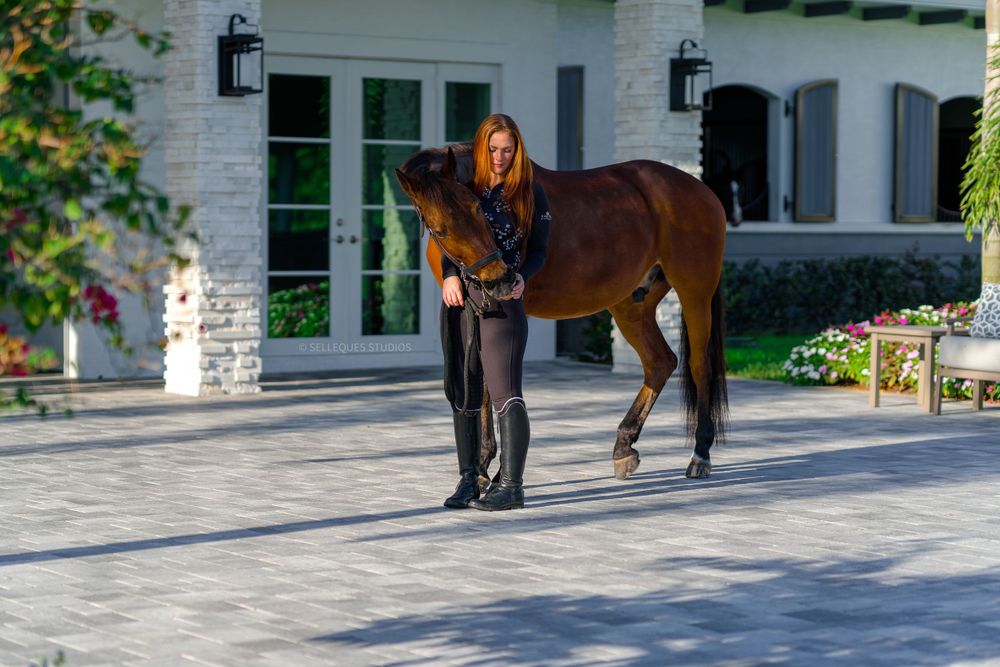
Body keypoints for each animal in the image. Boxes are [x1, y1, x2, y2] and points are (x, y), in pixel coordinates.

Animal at [394, 143, 727, 482]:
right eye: (441, 231)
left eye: (477, 210)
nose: (501, 279)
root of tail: (701, 190)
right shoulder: (469, 311)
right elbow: (481, 383)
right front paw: (483, 466)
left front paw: (492, 470)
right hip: (631, 305)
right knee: (660, 362)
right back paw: (624, 447)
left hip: (694, 293)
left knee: (700, 365)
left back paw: (700, 454)